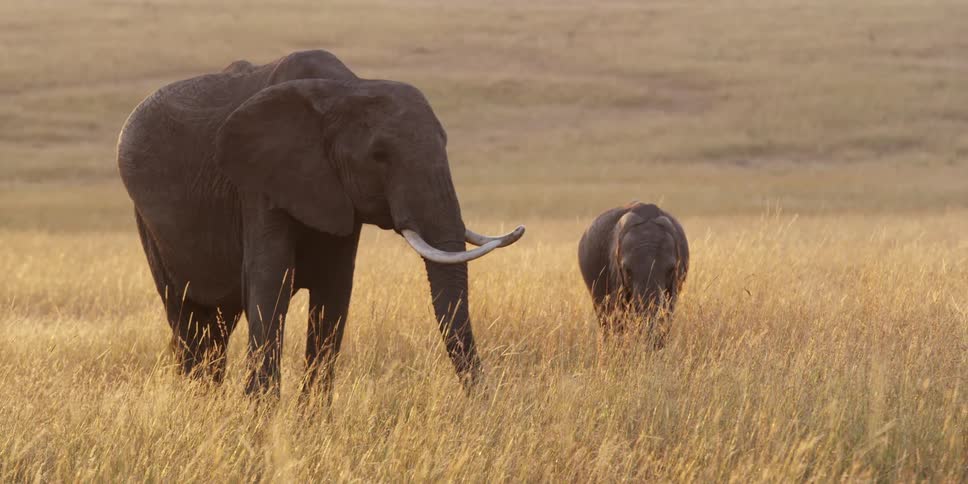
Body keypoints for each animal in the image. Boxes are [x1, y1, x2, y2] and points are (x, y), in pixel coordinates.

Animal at [117, 49, 525, 398]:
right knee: (187, 318)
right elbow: (271, 284)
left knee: (215, 325)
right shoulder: (259, 182)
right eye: (379, 155)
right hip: (148, 226)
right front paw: (260, 420)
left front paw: (310, 422)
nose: (485, 404)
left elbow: (334, 292)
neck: (345, 90)